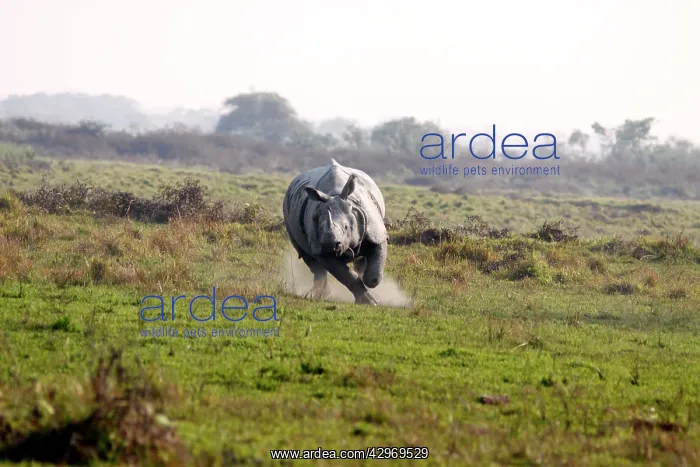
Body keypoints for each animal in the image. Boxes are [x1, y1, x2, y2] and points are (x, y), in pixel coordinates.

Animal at [283, 159, 387, 305]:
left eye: (346, 227)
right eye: (321, 228)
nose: (330, 245)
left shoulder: (377, 233)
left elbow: (374, 274)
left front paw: (373, 295)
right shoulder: (321, 249)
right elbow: (346, 276)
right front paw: (369, 302)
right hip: (287, 211)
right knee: (309, 259)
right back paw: (319, 295)